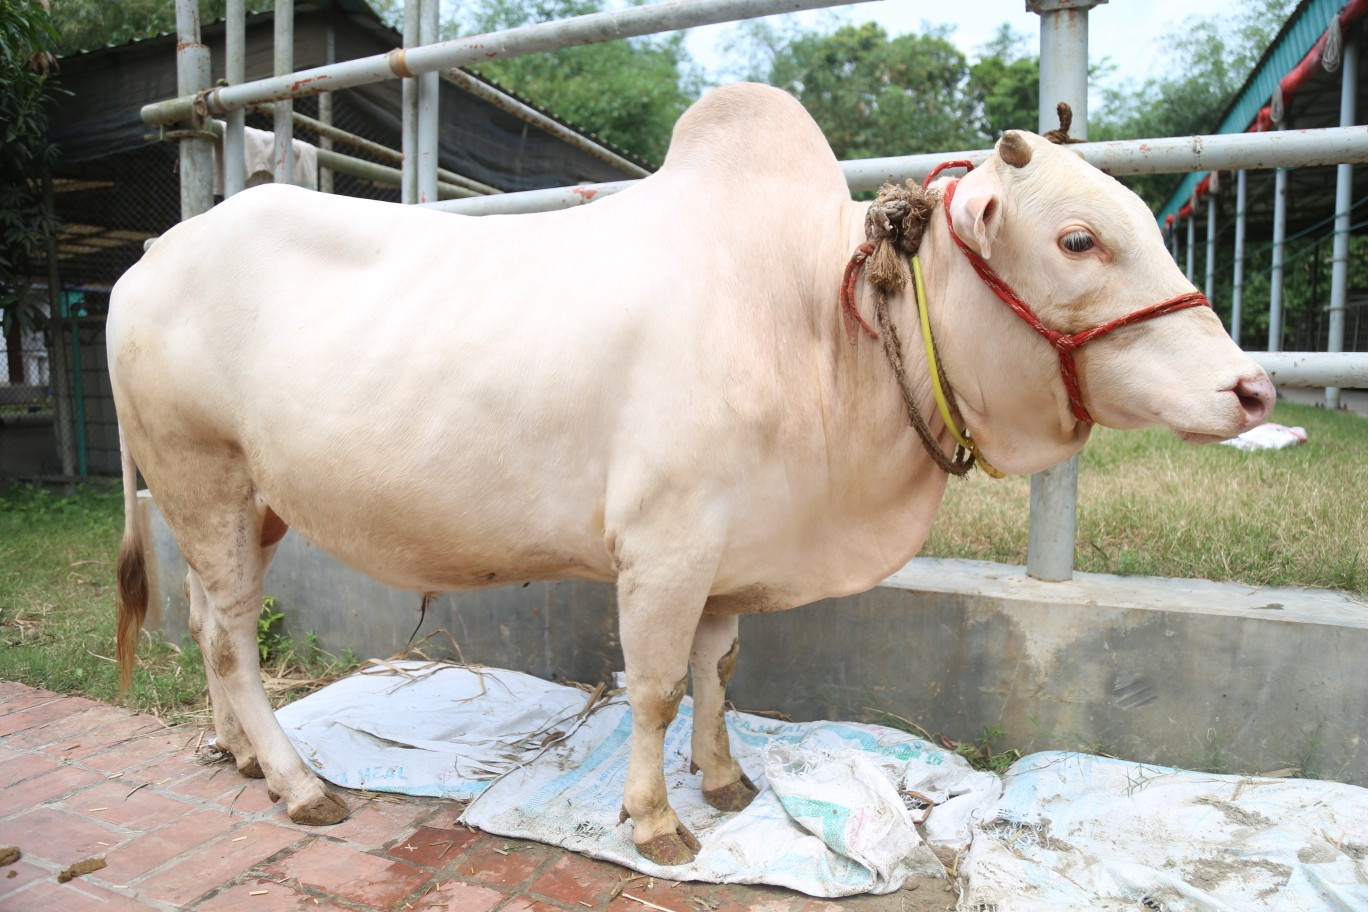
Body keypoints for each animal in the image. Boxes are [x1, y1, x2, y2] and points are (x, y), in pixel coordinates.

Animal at [109, 83, 1274, 866]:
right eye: (1079, 239)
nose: (1253, 388)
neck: (819, 323)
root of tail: (151, 257)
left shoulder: (730, 556)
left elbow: (719, 671)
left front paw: (723, 779)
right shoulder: (664, 550)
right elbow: (658, 685)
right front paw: (657, 820)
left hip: (249, 504)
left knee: (210, 627)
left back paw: (240, 755)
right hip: (202, 480)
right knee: (233, 642)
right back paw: (299, 784)